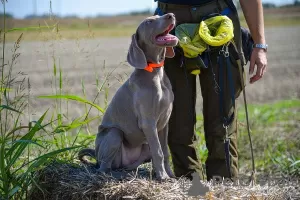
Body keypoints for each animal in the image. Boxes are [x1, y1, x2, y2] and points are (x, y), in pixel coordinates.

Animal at [78, 13, 179, 180]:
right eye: (149, 22)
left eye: (158, 15)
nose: (171, 15)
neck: (155, 72)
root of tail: (96, 155)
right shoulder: (148, 122)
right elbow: (158, 151)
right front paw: (163, 177)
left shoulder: (164, 123)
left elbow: (164, 151)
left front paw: (170, 175)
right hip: (114, 134)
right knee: (103, 167)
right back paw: (112, 174)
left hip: (143, 146)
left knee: (129, 165)